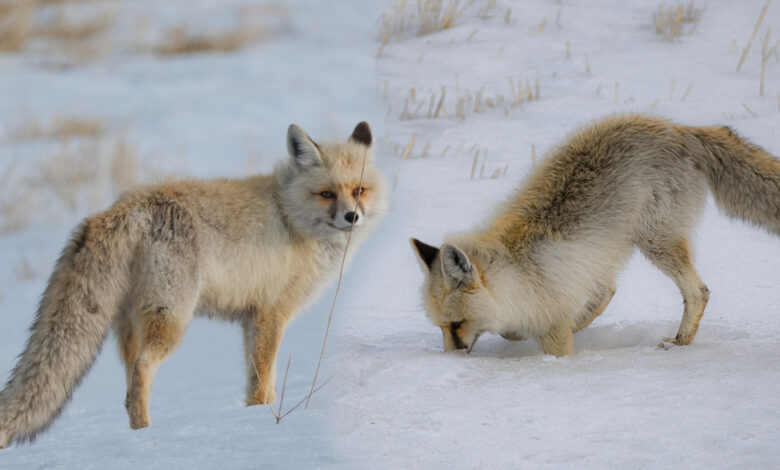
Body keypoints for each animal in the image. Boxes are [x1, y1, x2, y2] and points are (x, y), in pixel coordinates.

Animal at [0, 119, 388, 446]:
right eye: (326, 194)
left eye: (360, 190)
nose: (352, 216)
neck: (289, 215)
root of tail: (124, 206)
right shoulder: (271, 315)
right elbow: (263, 384)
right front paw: (260, 422)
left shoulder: (251, 319)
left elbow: (260, 382)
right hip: (172, 318)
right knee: (141, 373)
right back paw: (147, 435)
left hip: (129, 327)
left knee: (128, 388)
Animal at [412, 114, 780, 356]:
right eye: (441, 327)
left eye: (457, 324)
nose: (449, 358)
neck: (518, 268)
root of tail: (681, 129)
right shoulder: (579, 281)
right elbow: (593, 300)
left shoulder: (554, 320)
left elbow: (556, 342)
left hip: (654, 241)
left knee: (698, 292)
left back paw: (679, 343)